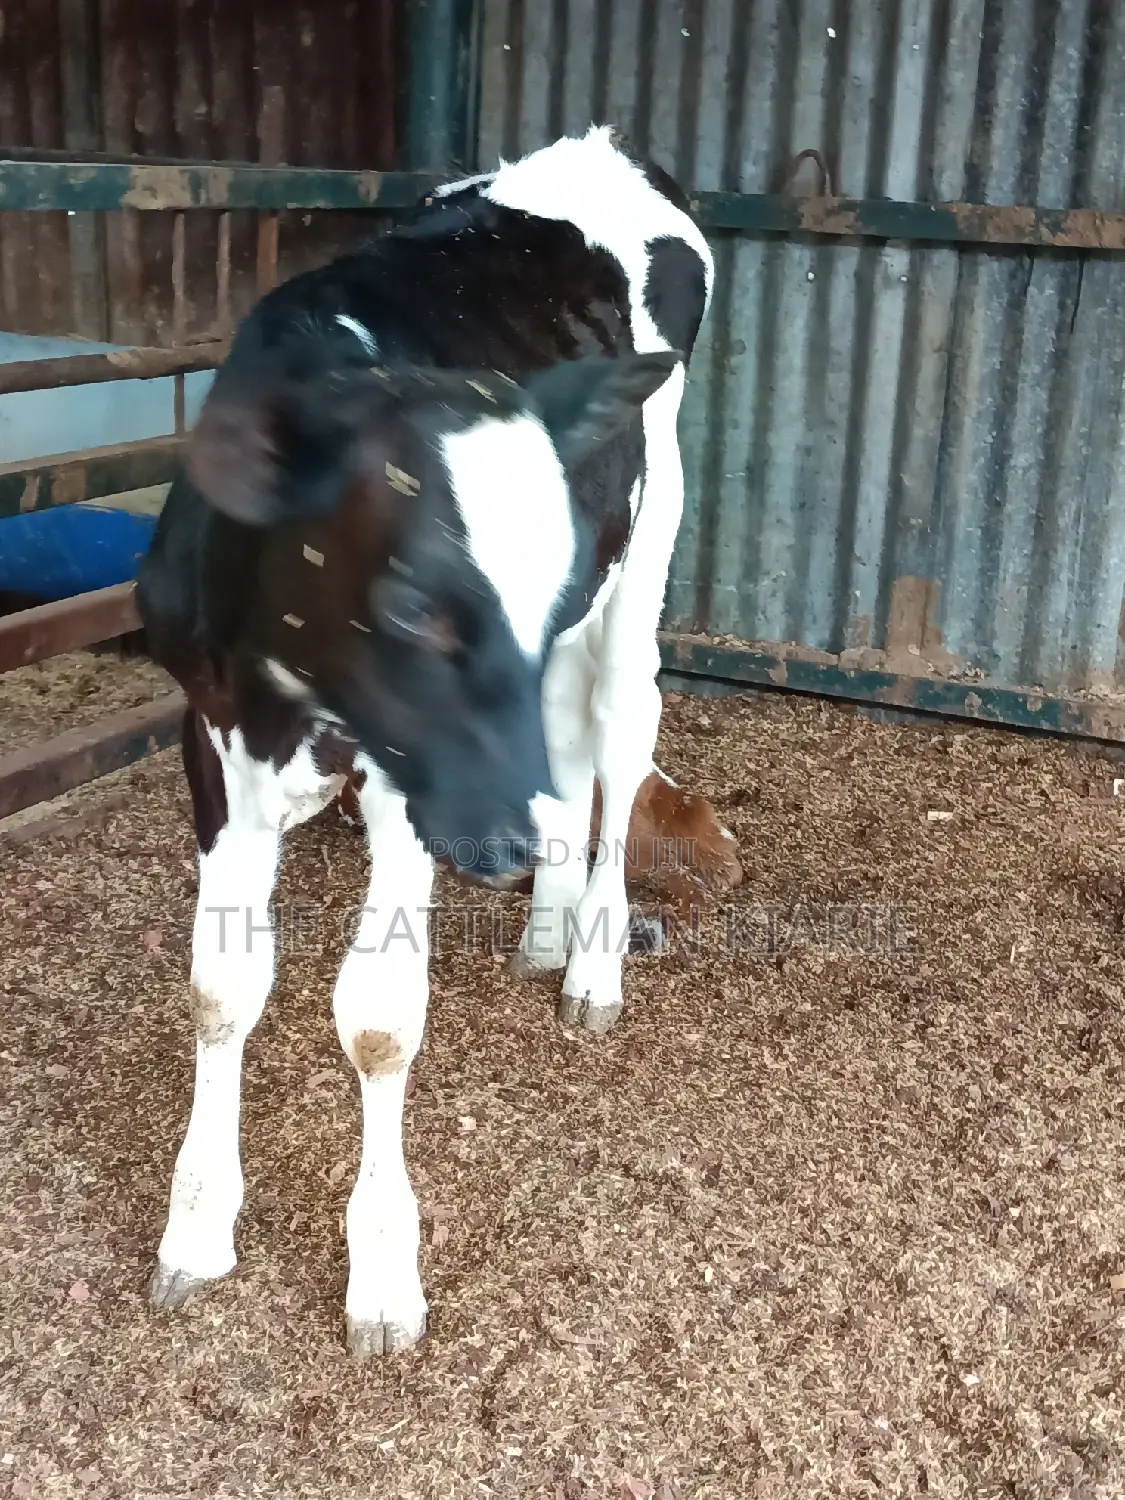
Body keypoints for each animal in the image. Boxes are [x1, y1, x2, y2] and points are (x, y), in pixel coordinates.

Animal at [135, 125, 719, 1357]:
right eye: (410, 604)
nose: (500, 846)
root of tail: (601, 147)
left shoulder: (413, 787)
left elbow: (378, 1020)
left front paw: (383, 1274)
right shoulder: (209, 729)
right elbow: (221, 984)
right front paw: (197, 1229)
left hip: (643, 552)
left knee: (618, 732)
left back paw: (591, 961)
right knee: (564, 742)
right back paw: (546, 929)